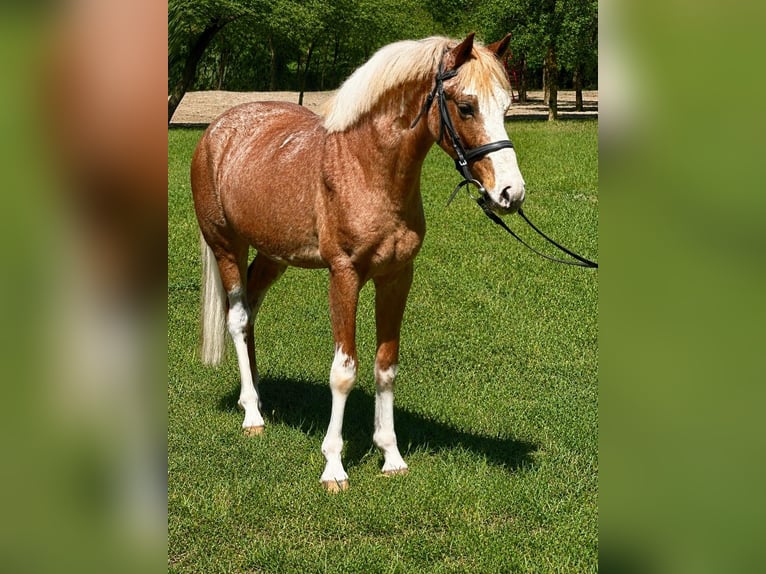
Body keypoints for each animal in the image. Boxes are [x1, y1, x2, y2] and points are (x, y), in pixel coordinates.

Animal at [190, 33, 526, 492]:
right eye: (466, 106)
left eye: (507, 106)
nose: (511, 193)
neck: (368, 167)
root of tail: (217, 130)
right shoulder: (344, 276)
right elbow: (344, 371)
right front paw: (334, 466)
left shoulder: (397, 277)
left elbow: (386, 367)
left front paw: (391, 456)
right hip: (227, 246)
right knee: (238, 319)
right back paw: (252, 415)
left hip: (272, 256)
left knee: (250, 313)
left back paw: (256, 396)